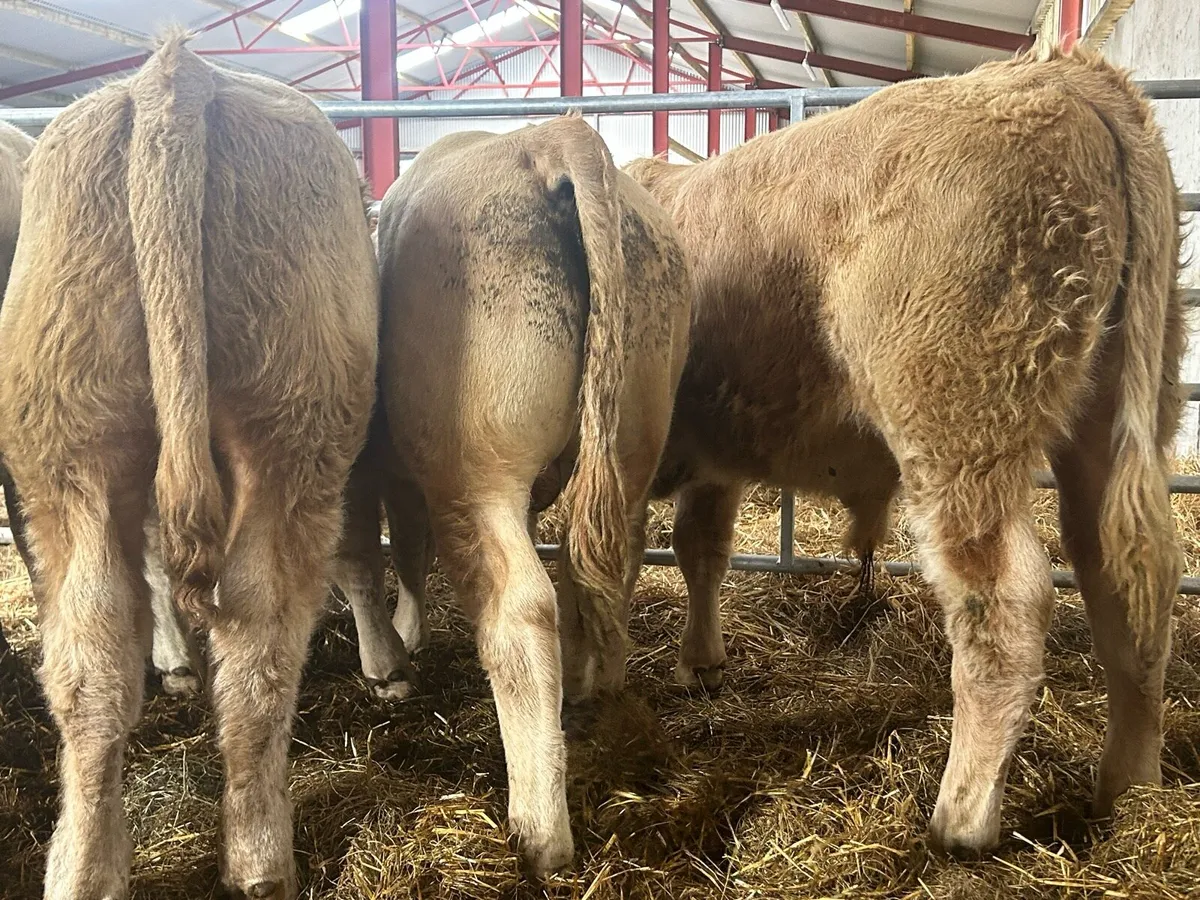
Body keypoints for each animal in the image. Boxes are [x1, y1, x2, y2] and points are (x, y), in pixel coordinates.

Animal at [0, 34, 378, 900]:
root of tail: (176, 76)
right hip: (290, 442)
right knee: (258, 636)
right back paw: (259, 861)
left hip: (72, 452)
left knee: (94, 647)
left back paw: (88, 867)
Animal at [336, 116, 691, 873]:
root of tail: (552, 138)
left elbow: (375, 555)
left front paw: (392, 660)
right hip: (629, 442)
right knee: (605, 566)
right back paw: (593, 688)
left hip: (478, 474)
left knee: (521, 609)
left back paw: (538, 827)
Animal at [618, 44, 1187, 857]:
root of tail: (1056, 75)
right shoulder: (712, 463)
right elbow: (701, 549)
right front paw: (700, 661)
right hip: (1114, 414)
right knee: (1127, 577)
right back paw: (1130, 791)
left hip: (961, 426)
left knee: (1005, 598)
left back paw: (961, 816)